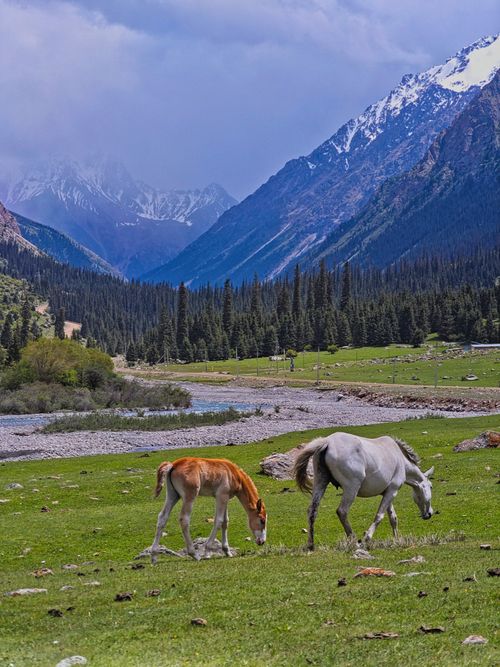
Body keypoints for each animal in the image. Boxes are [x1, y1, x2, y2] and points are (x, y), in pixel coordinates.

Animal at [293, 432, 434, 549]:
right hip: (351, 488)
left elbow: (393, 518)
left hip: (320, 483)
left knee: (312, 511)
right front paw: (367, 537)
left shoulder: (388, 493)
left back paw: (311, 544)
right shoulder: (392, 491)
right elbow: (379, 516)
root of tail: (327, 442)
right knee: (342, 511)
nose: (430, 513)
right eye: (431, 486)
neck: (400, 459)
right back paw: (354, 540)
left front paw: (397, 539)